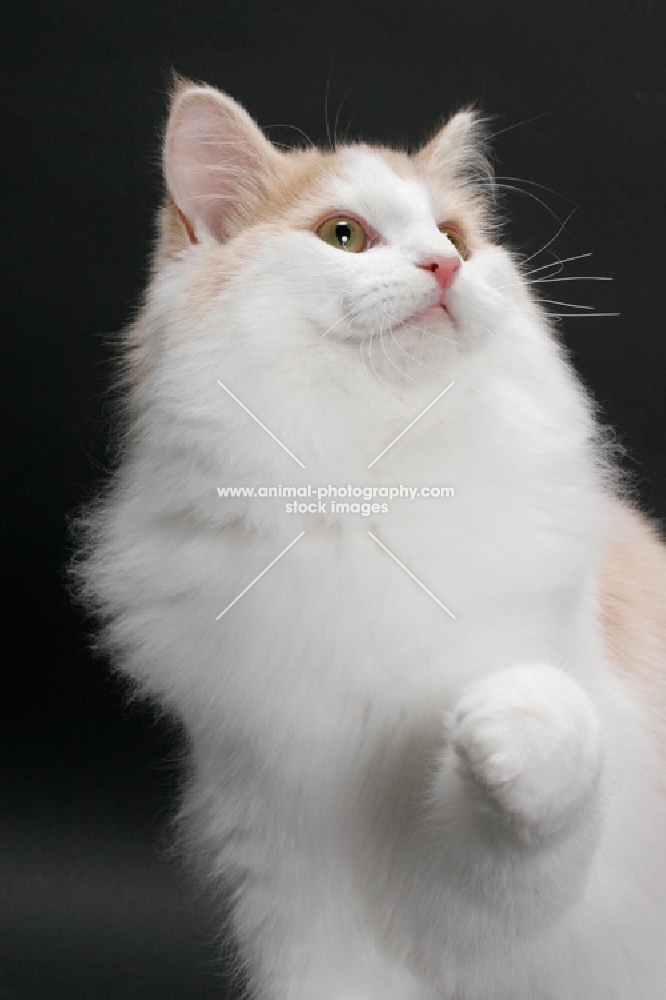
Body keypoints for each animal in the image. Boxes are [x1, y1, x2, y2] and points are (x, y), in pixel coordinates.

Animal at [72, 80, 664, 1000]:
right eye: (343, 235)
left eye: (455, 238)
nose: (445, 267)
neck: (368, 489)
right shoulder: (289, 867)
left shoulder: (513, 912)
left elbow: (545, 780)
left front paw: (504, 720)